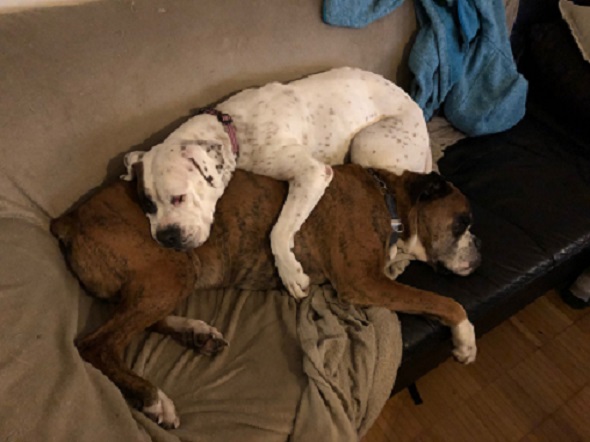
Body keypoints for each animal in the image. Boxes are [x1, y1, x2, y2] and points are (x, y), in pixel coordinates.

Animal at [51, 164, 480, 429]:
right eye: (464, 222)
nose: (480, 254)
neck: (388, 199)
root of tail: (69, 219)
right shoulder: (363, 282)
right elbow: (444, 301)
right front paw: (465, 339)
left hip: (166, 279)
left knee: (138, 323)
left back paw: (197, 334)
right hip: (168, 272)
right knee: (98, 345)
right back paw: (154, 397)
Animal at [121, 67, 432, 299]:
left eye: (179, 197)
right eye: (148, 205)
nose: (166, 237)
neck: (232, 129)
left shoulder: (312, 173)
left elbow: (279, 231)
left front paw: (290, 273)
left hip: (365, 144)